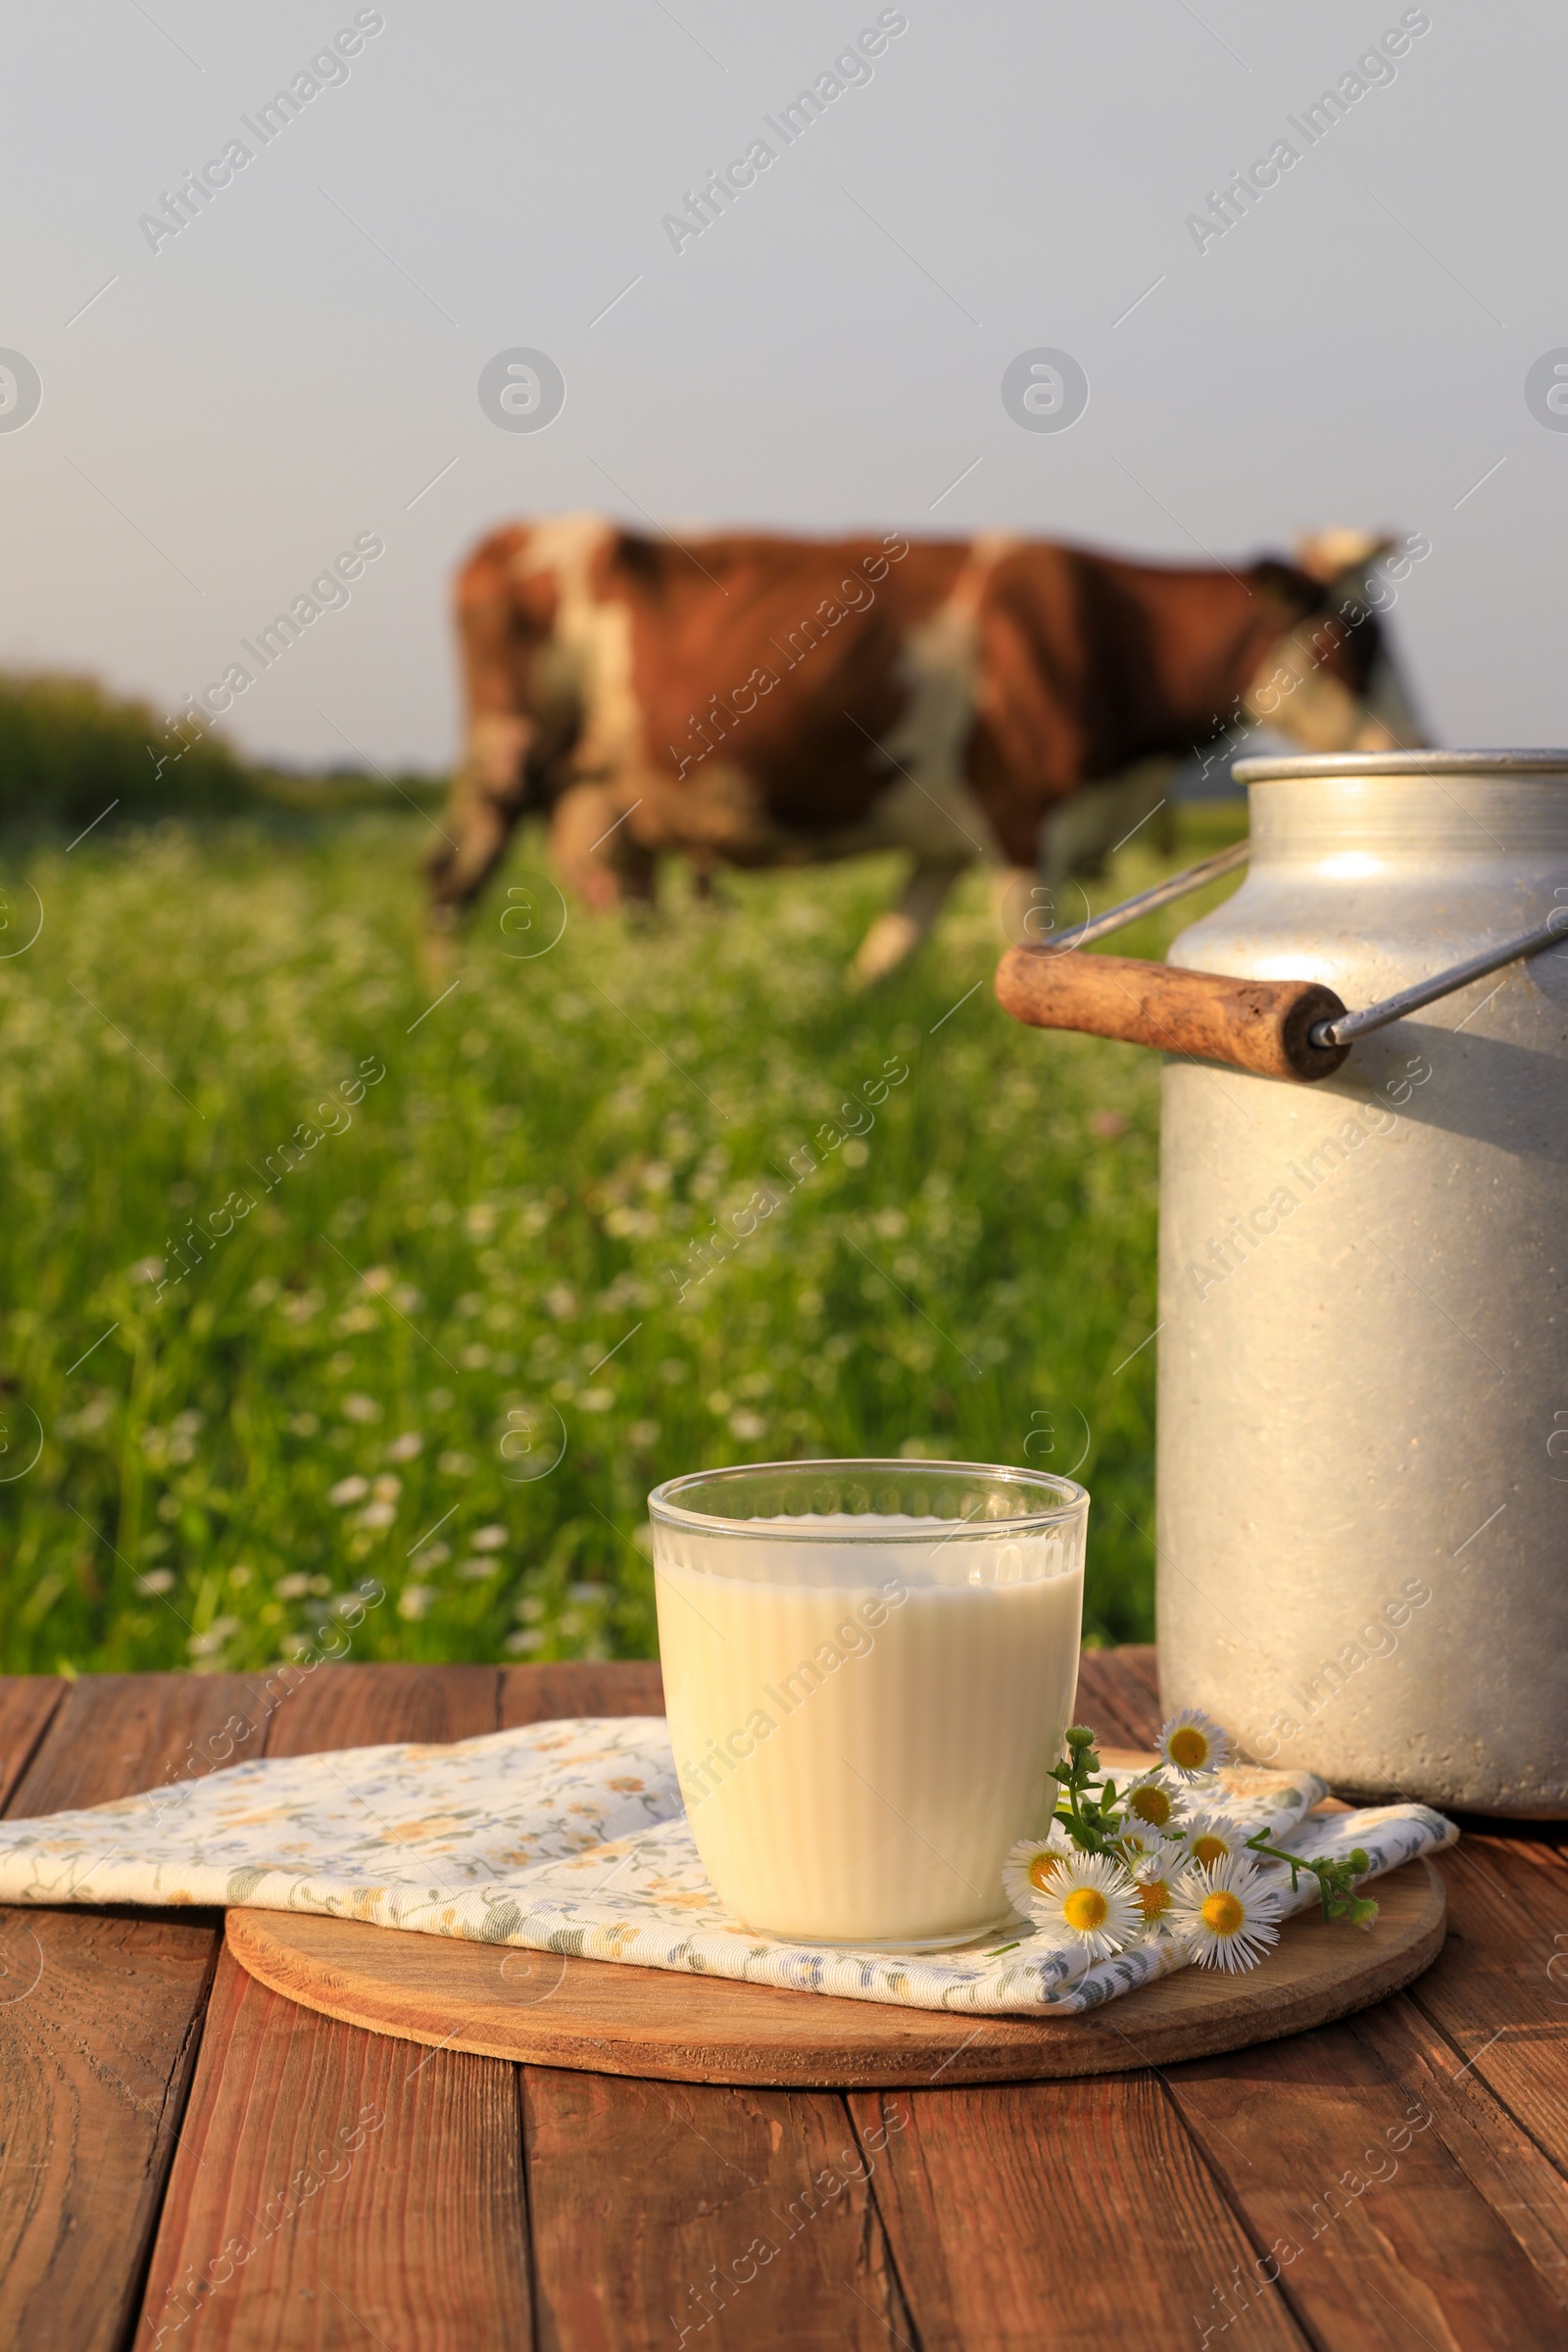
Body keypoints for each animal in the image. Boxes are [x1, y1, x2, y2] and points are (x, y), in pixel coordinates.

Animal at [425, 519, 1419, 978]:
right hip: (507, 756)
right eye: (1359, 640)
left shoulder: (944, 850)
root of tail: (518, 531)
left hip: (601, 802)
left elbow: (883, 965)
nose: (1413, 744)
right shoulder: (1023, 827)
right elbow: (1028, 956)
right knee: (452, 876)